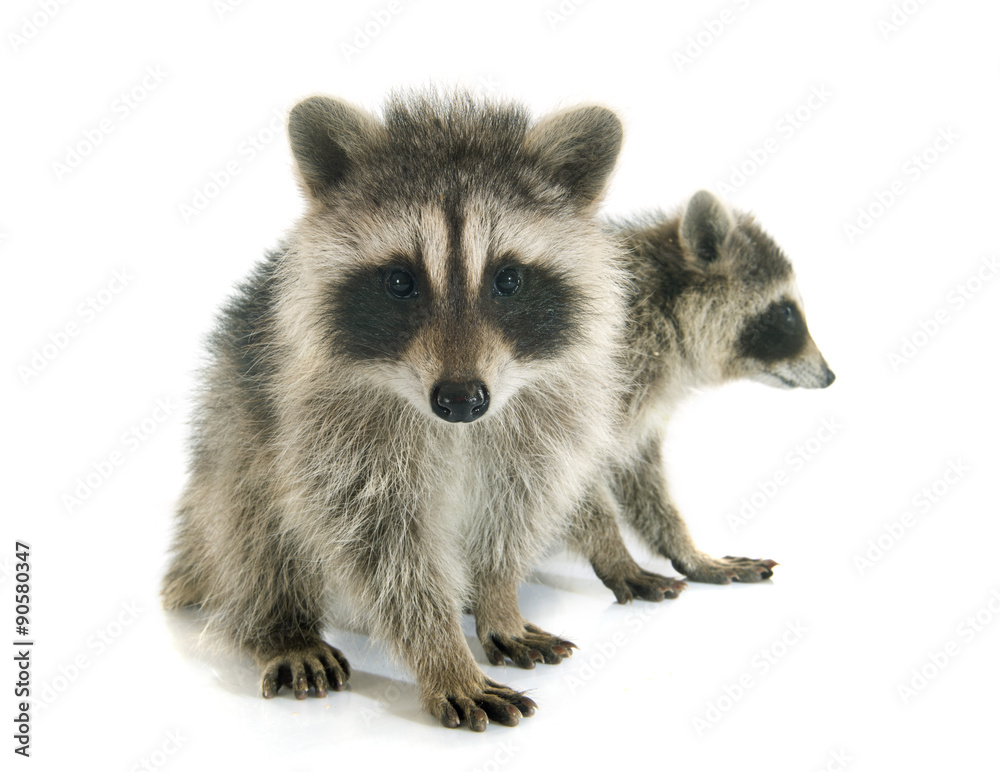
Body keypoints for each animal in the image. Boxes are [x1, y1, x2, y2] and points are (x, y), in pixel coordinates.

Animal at [161, 92, 628, 731]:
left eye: (508, 279)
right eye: (400, 282)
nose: (461, 399)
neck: (454, 426)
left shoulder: (546, 410)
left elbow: (513, 509)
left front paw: (498, 597)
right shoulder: (330, 428)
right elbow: (386, 551)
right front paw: (444, 656)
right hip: (234, 418)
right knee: (248, 514)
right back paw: (278, 624)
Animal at [569, 190, 835, 603]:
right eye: (787, 313)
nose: (830, 376)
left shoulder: (639, 401)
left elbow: (640, 475)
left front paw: (685, 549)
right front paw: (612, 553)